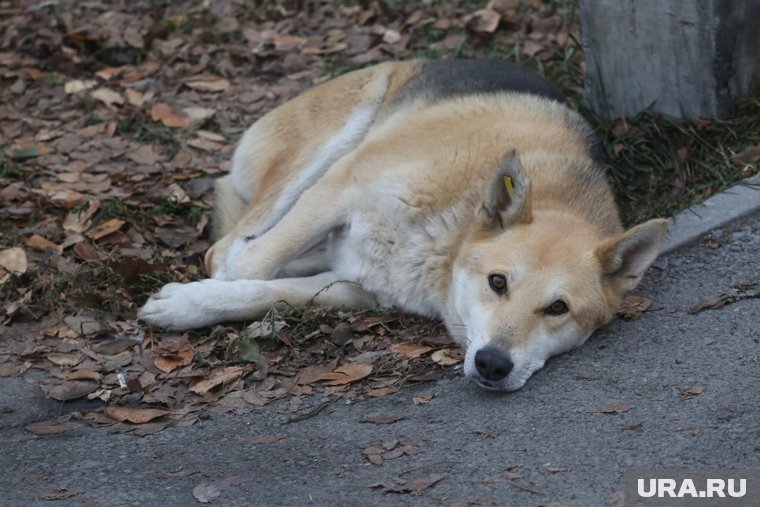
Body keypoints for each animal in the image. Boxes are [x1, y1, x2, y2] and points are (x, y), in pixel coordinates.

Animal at [140, 60, 668, 392]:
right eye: (497, 282)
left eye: (558, 308)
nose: (493, 365)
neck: (447, 241)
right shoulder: (342, 188)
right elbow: (248, 266)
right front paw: (193, 300)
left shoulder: (360, 287)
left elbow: (271, 291)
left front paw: (193, 305)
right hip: (328, 150)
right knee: (230, 245)